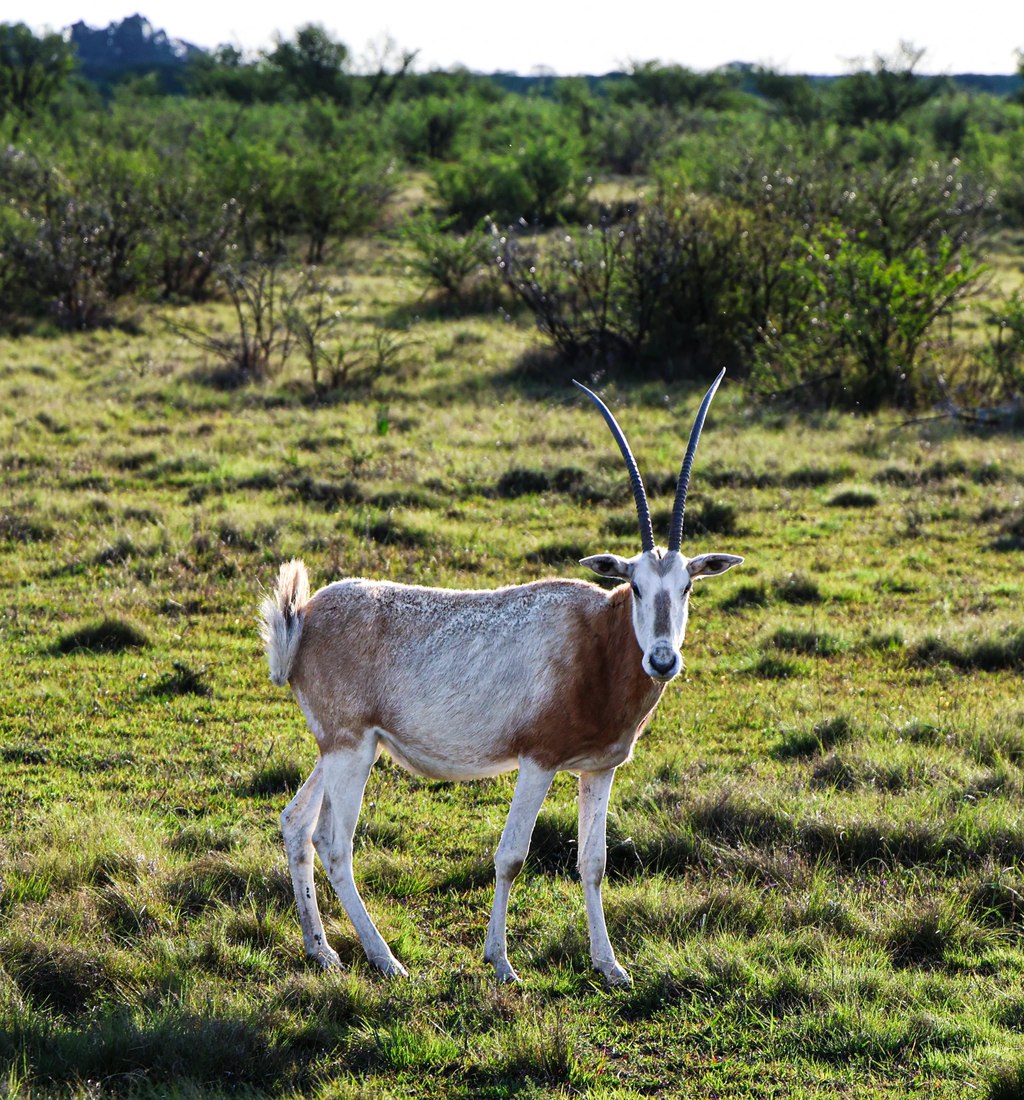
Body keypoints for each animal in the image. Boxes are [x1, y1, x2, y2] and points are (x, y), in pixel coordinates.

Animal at [260, 371, 742, 986]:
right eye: (634, 585)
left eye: (687, 586)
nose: (662, 660)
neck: (597, 641)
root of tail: (303, 616)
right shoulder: (538, 762)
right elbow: (512, 855)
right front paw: (501, 963)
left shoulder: (599, 769)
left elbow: (593, 862)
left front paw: (610, 967)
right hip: (351, 751)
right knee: (333, 841)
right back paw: (386, 959)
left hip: (340, 749)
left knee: (295, 823)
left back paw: (322, 950)